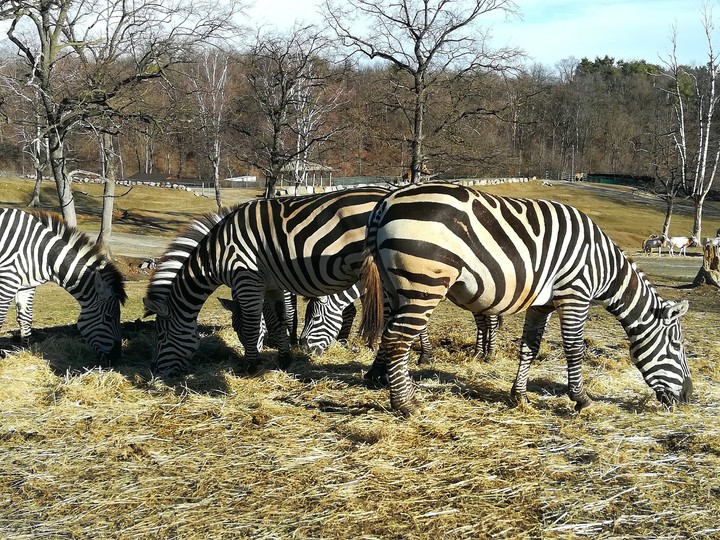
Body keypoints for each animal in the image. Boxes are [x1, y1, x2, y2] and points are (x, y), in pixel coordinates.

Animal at [0, 208, 126, 361]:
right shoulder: (7, 281)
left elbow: (25, 318)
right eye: (108, 318)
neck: (41, 253)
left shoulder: (27, 285)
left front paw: (26, 351)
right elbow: (1, 318)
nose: (116, 357)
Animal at [142, 187, 389, 375]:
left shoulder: (248, 279)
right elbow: (279, 320)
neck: (216, 254)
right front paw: (284, 359)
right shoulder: (272, 285)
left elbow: (255, 324)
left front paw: (250, 366)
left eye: (161, 336)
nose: (154, 371)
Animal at [300, 282, 502, 362]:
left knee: (489, 321)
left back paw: (490, 353)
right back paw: (479, 352)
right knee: (482, 322)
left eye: (315, 318)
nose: (303, 348)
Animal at [359, 182, 692, 416]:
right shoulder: (574, 293)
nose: (689, 397)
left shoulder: (542, 303)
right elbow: (574, 348)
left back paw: (380, 379)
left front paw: (519, 396)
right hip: (425, 283)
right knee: (397, 339)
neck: (604, 266)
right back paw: (406, 404)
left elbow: (530, 347)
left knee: (388, 333)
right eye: (677, 346)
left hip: (394, 285)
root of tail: (387, 201)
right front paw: (581, 399)